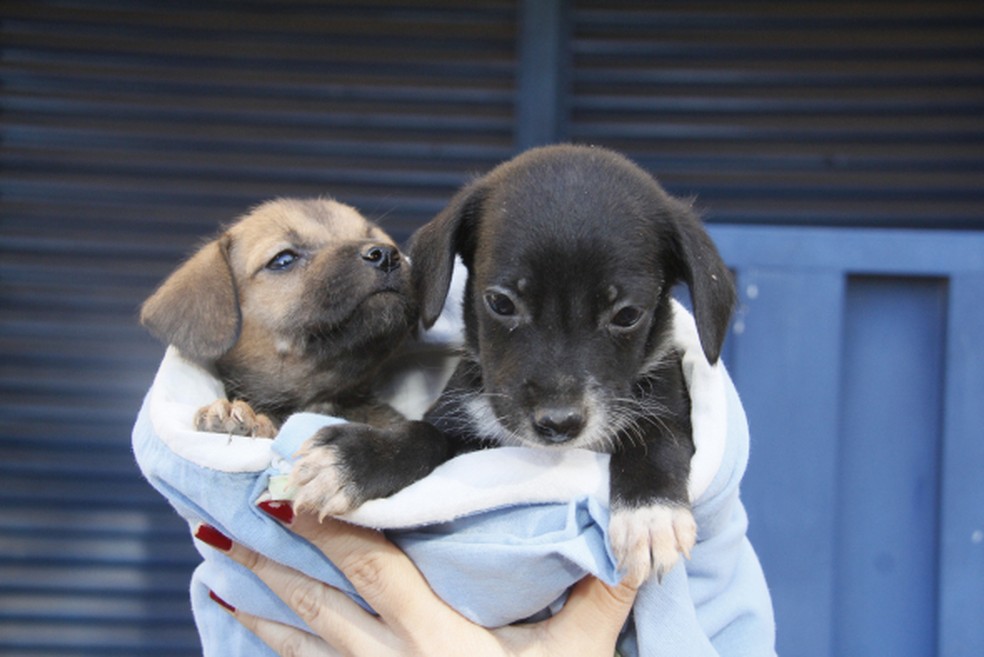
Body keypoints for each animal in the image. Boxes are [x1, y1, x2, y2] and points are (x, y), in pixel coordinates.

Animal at [292, 145, 736, 584]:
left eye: (628, 315)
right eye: (501, 303)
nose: (558, 424)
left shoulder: (671, 407)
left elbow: (658, 439)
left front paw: (651, 516)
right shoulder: (458, 421)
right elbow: (423, 434)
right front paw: (353, 460)